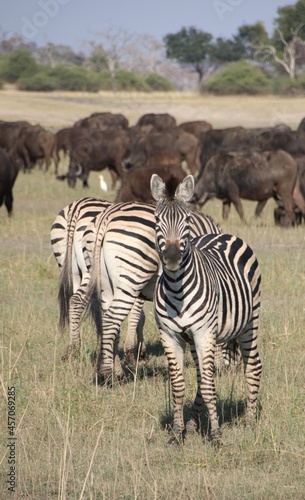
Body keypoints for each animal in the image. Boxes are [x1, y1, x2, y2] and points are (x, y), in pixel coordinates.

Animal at [150, 173, 262, 446]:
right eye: (157, 220)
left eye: (187, 220)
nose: (171, 258)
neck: (177, 288)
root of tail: (226, 235)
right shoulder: (170, 336)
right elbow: (179, 386)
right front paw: (177, 434)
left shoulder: (204, 333)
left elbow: (211, 387)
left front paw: (217, 436)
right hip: (196, 340)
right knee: (202, 376)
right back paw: (192, 425)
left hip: (250, 323)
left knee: (253, 367)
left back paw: (249, 423)